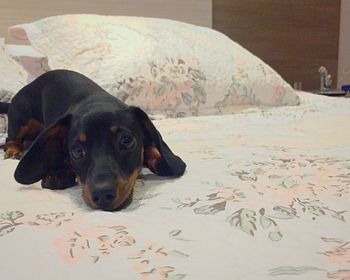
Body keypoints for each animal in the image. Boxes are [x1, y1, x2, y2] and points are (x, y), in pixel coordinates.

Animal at [0, 69, 186, 210]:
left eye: (127, 141)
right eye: (76, 151)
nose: (102, 195)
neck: (97, 103)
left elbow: (153, 151)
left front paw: (161, 160)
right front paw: (58, 172)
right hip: (22, 116)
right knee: (11, 138)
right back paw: (14, 151)